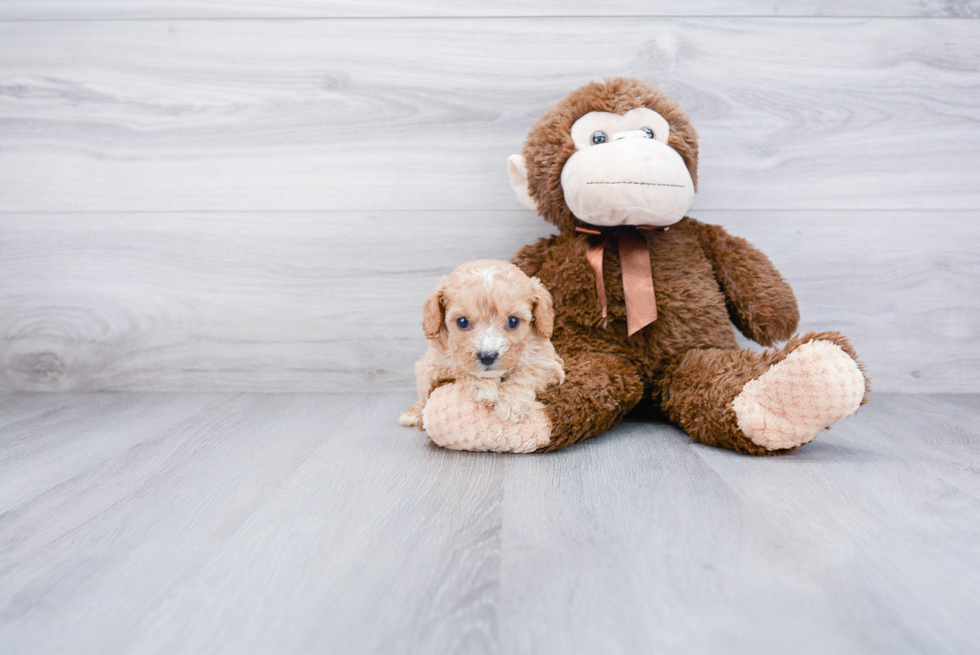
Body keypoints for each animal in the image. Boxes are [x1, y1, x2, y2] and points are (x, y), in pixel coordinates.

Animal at [398, 258, 568, 428]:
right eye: (462, 322)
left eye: (513, 321)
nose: (487, 357)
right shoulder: (437, 367)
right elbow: (460, 368)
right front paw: (484, 387)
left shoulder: (549, 365)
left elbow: (526, 372)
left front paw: (512, 404)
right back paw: (413, 413)